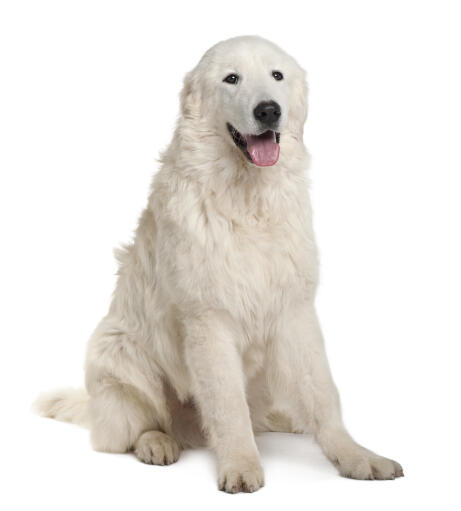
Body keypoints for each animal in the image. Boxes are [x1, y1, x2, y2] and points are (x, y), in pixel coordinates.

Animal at [35, 35, 402, 492]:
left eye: (277, 75)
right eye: (232, 79)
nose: (268, 110)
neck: (247, 200)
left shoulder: (295, 313)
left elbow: (323, 395)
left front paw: (356, 457)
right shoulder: (209, 321)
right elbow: (228, 405)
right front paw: (241, 466)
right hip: (118, 350)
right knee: (131, 427)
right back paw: (157, 443)